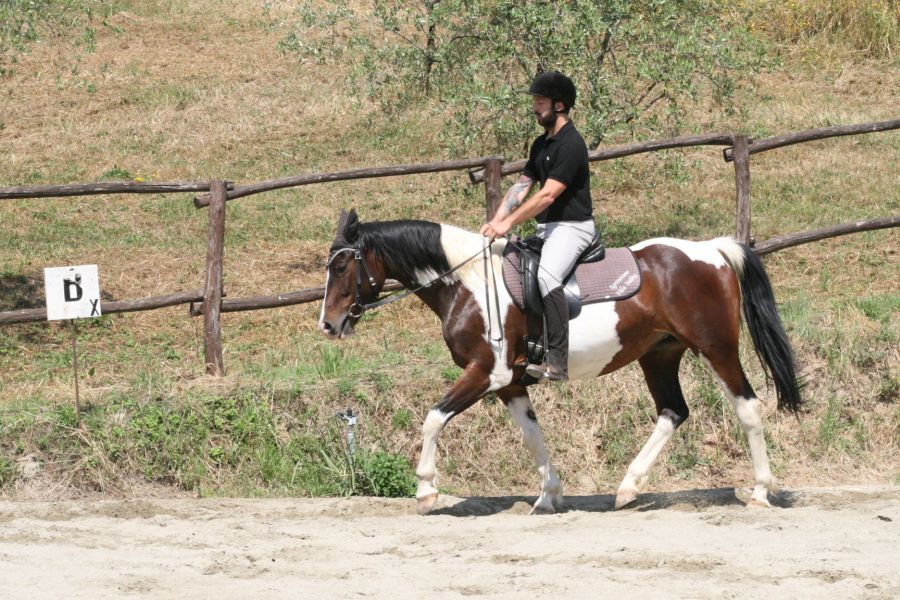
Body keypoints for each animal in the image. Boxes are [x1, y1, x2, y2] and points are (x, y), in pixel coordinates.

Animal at [318, 209, 800, 512]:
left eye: (342, 268)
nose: (328, 325)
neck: (469, 282)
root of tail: (713, 251)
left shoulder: (485, 373)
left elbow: (433, 419)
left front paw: (425, 490)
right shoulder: (510, 384)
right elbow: (532, 435)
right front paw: (549, 494)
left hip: (716, 349)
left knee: (748, 408)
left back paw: (761, 492)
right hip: (659, 355)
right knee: (673, 411)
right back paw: (628, 487)